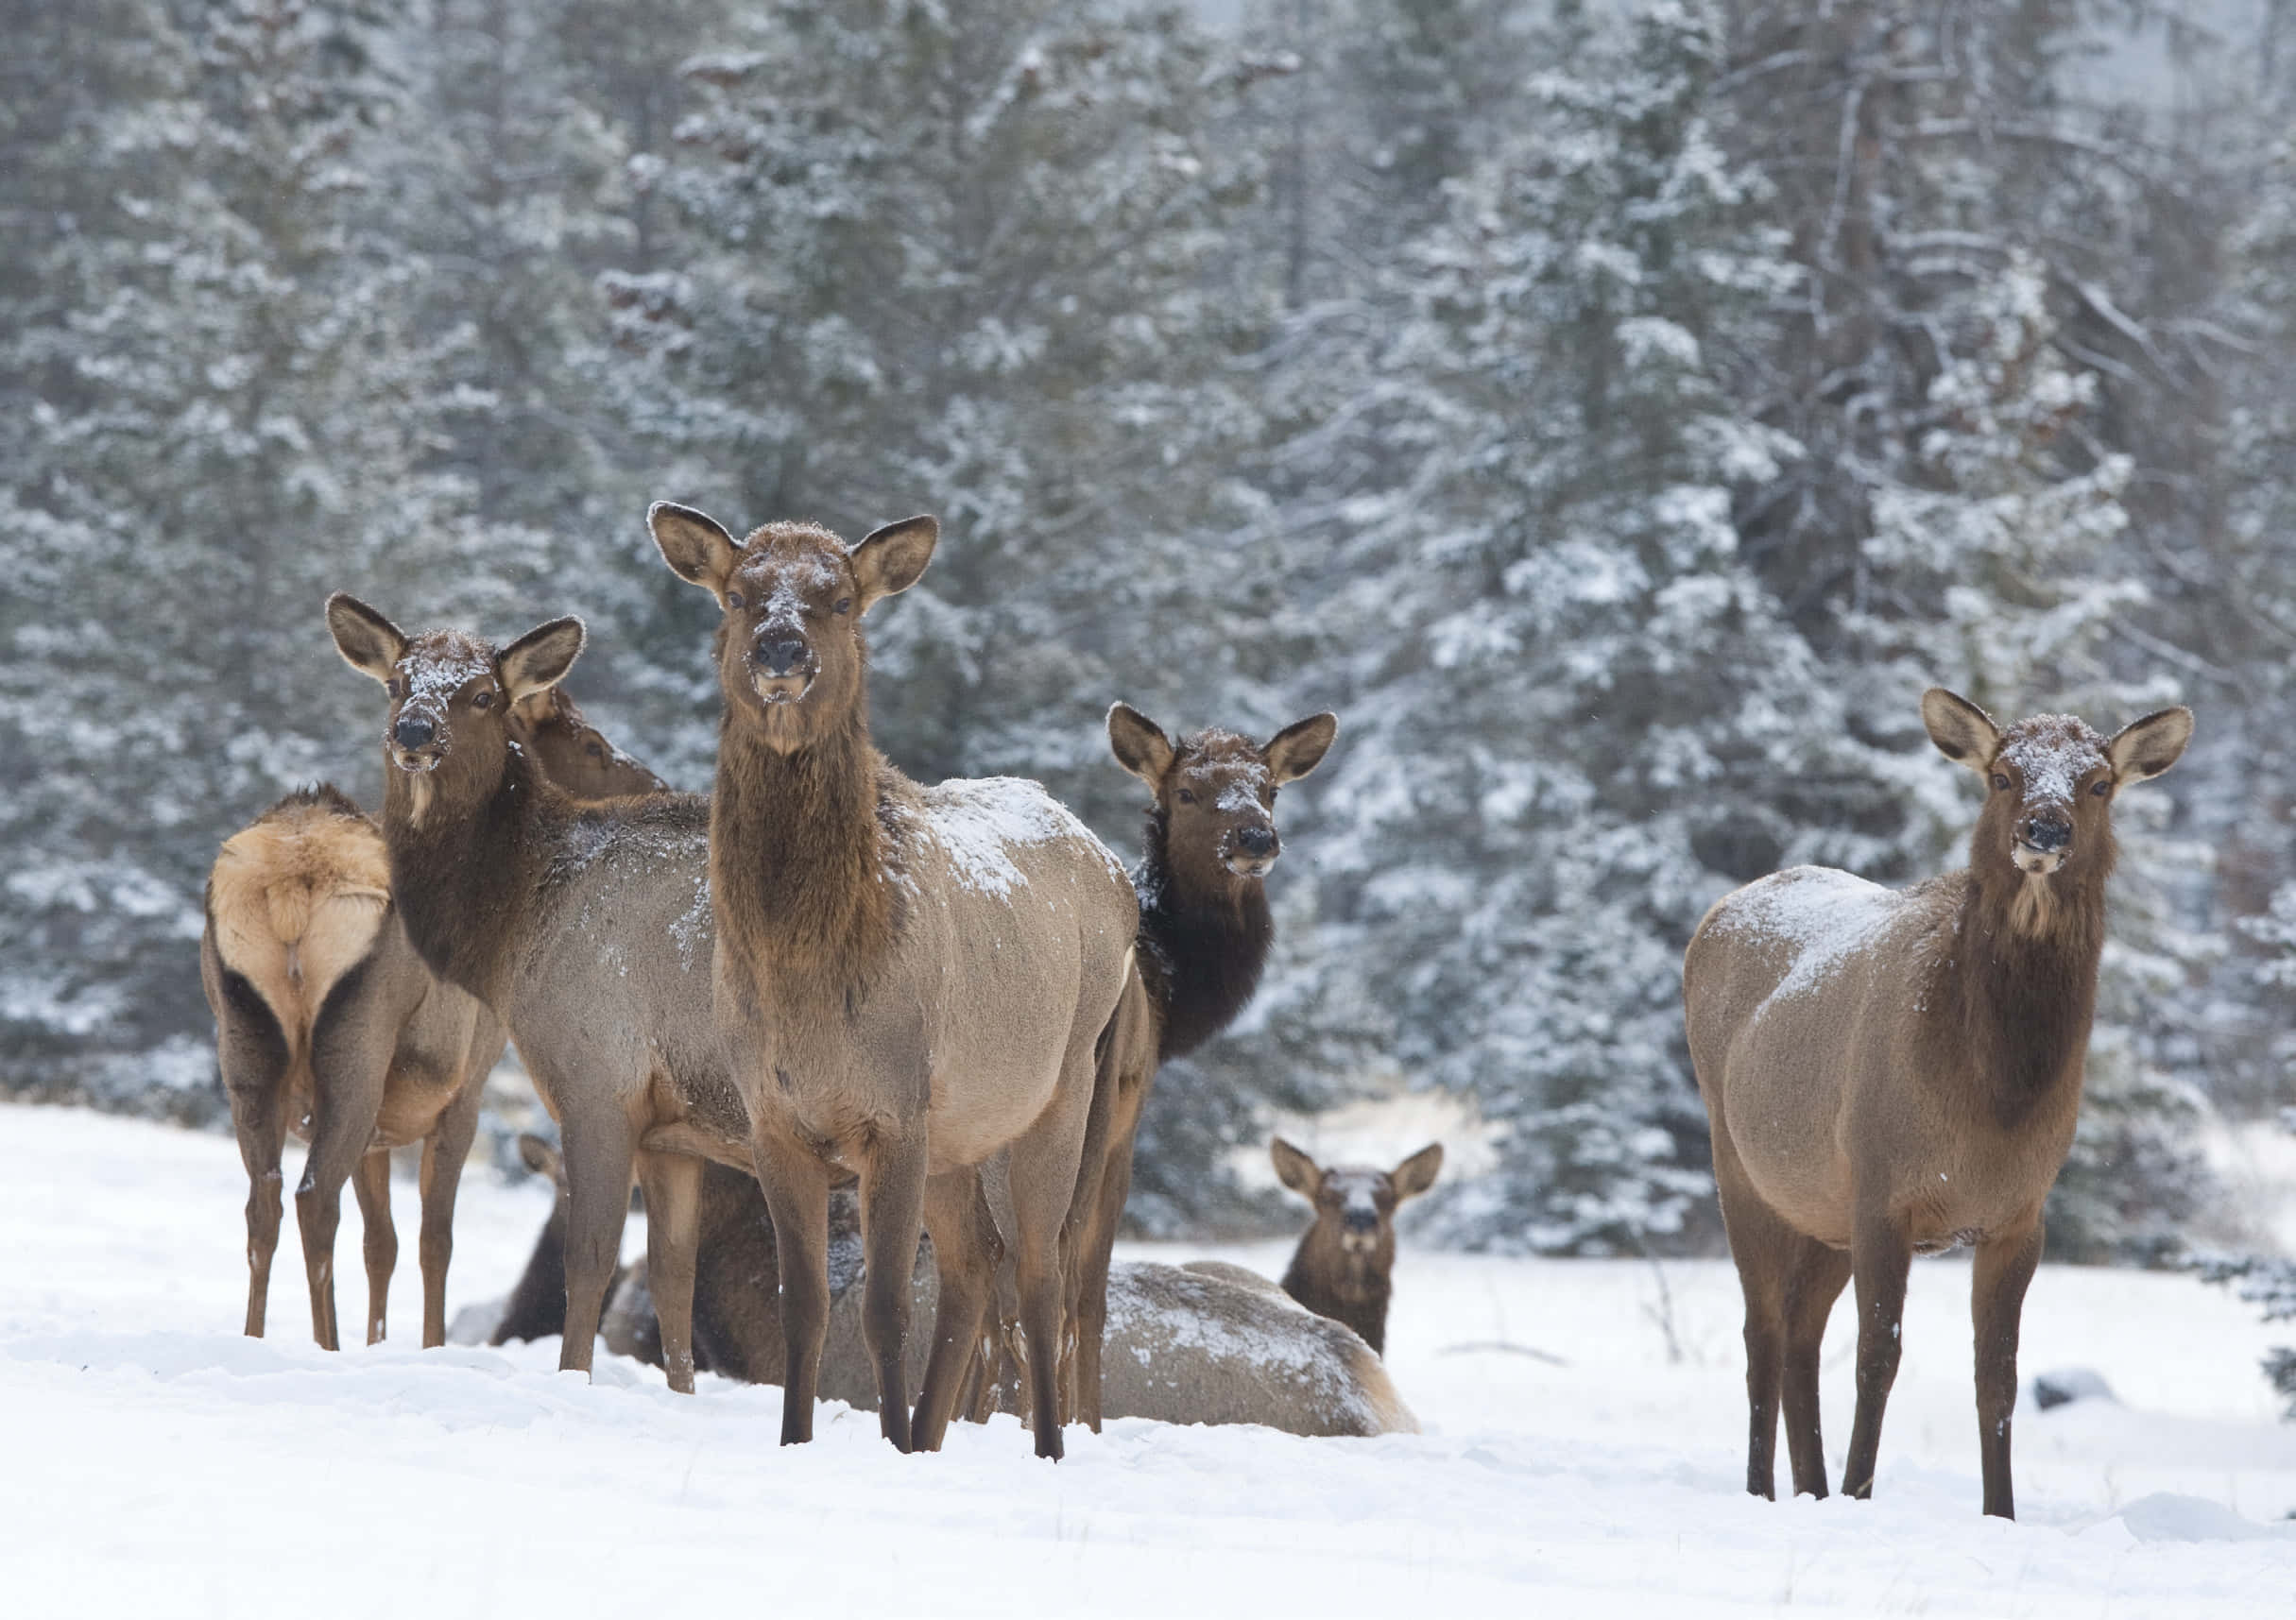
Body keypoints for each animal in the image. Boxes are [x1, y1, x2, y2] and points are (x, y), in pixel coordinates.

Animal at [198, 690, 665, 1352]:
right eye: (592, 744)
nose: (657, 786)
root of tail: (293, 882)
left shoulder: (380, 1130)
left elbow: (381, 1244)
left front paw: (378, 1342)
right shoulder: (465, 1090)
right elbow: (435, 1241)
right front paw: (428, 1344)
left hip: (244, 1044)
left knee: (263, 1204)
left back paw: (256, 1338)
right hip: (359, 1046)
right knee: (315, 1199)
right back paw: (325, 1346)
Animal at [325, 595, 754, 1394]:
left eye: (482, 695)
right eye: (397, 683)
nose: (414, 733)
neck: (518, 925)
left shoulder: (598, 1080)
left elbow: (589, 1260)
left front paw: (573, 1380)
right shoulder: (676, 1128)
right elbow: (672, 1281)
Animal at [649, 502, 1137, 1459]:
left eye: (839, 598)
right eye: (738, 593)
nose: (781, 649)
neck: (805, 984)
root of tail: (1116, 873)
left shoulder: (896, 1110)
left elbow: (881, 1310)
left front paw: (888, 1445)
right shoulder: (773, 1118)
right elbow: (802, 1308)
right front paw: (801, 1440)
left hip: (1062, 1083)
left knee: (1040, 1271)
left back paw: (1045, 1446)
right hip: (959, 1130)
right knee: (975, 1266)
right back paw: (935, 1436)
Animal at [1054, 703, 1337, 1428]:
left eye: (1270, 789)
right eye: (1185, 792)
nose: (1255, 837)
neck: (1173, 990)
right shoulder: (1124, 1124)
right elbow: (1089, 1292)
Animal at [1682, 689, 2193, 1519]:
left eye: (2099, 784)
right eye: (2002, 775)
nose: (2042, 831)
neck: (1993, 1100)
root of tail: (1718, 912)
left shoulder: (2020, 1214)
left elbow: (1999, 1375)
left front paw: (2000, 1512)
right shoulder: (1884, 1190)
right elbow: (1877, 1357)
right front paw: (1860, 1493)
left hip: (1822, 1209)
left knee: (1799, 1336)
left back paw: (1810, 1489)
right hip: (1741, 1167)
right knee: (1763, 1334)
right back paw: (1765, 1491)